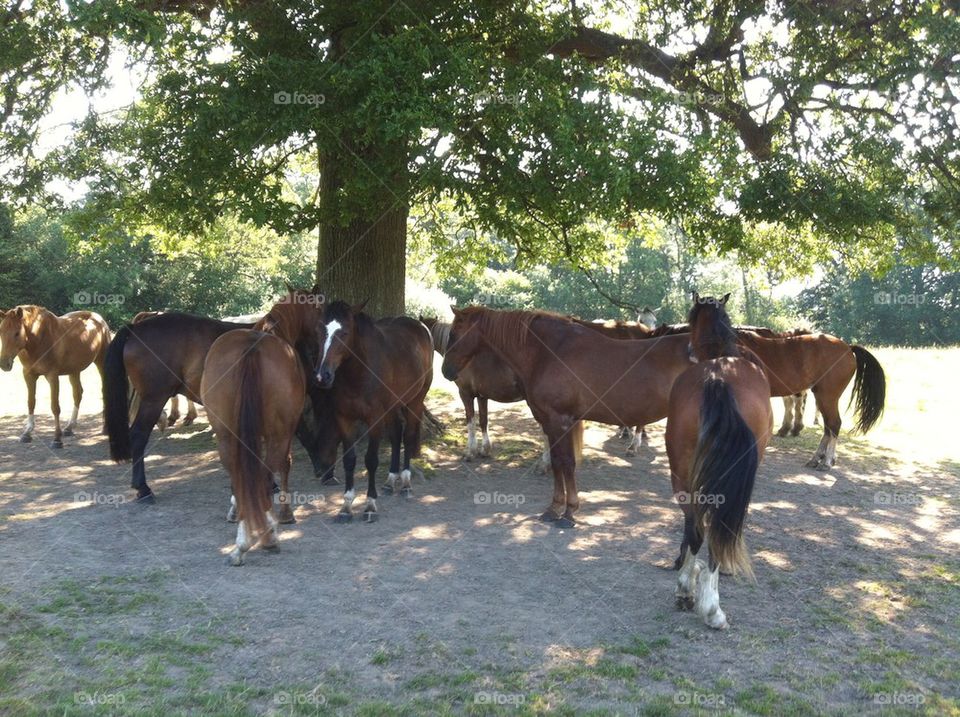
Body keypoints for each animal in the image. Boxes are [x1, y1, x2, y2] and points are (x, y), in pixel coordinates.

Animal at [0, 306, 110, 448]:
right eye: (1, 332)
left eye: (17, 333)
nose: (4, 364)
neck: (39, 340)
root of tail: (99, 319)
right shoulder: (28, 375)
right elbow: (31, 402)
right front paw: (27, 433)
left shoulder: (52, 376)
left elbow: (55, 407)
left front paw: (57, 439)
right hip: (74, 371)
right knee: (77, 394)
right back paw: (69, 427)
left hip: (101, 363)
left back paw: (105, 428)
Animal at [314, 301, 433, 522]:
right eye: (320, 330)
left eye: (344, 333)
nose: (322, 376)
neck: (359, 374)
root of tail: (421, 327)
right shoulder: (345, 419)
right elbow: (350, 460)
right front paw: (346, 506)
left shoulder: (374, 419)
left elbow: (371, 460)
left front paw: (370, 504)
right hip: (393, 406)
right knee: (396, 435)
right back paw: (390, 481)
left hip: (414, 401)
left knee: (408, 435)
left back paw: (405, 482)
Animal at [442, 307, 693, 526]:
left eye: (454, 333)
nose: (446, 371)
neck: (548, 352)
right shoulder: (550, 422)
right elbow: (556, 462)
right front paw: (554, 508)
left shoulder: (560, 421)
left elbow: (567, 463)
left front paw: (569, 511)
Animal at [666, 292, 773, 630]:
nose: (688, 350)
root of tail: (718, 378)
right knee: (708, 529)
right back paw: (707, 604)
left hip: (683, 473)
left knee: (696, 527)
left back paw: (690, 592)